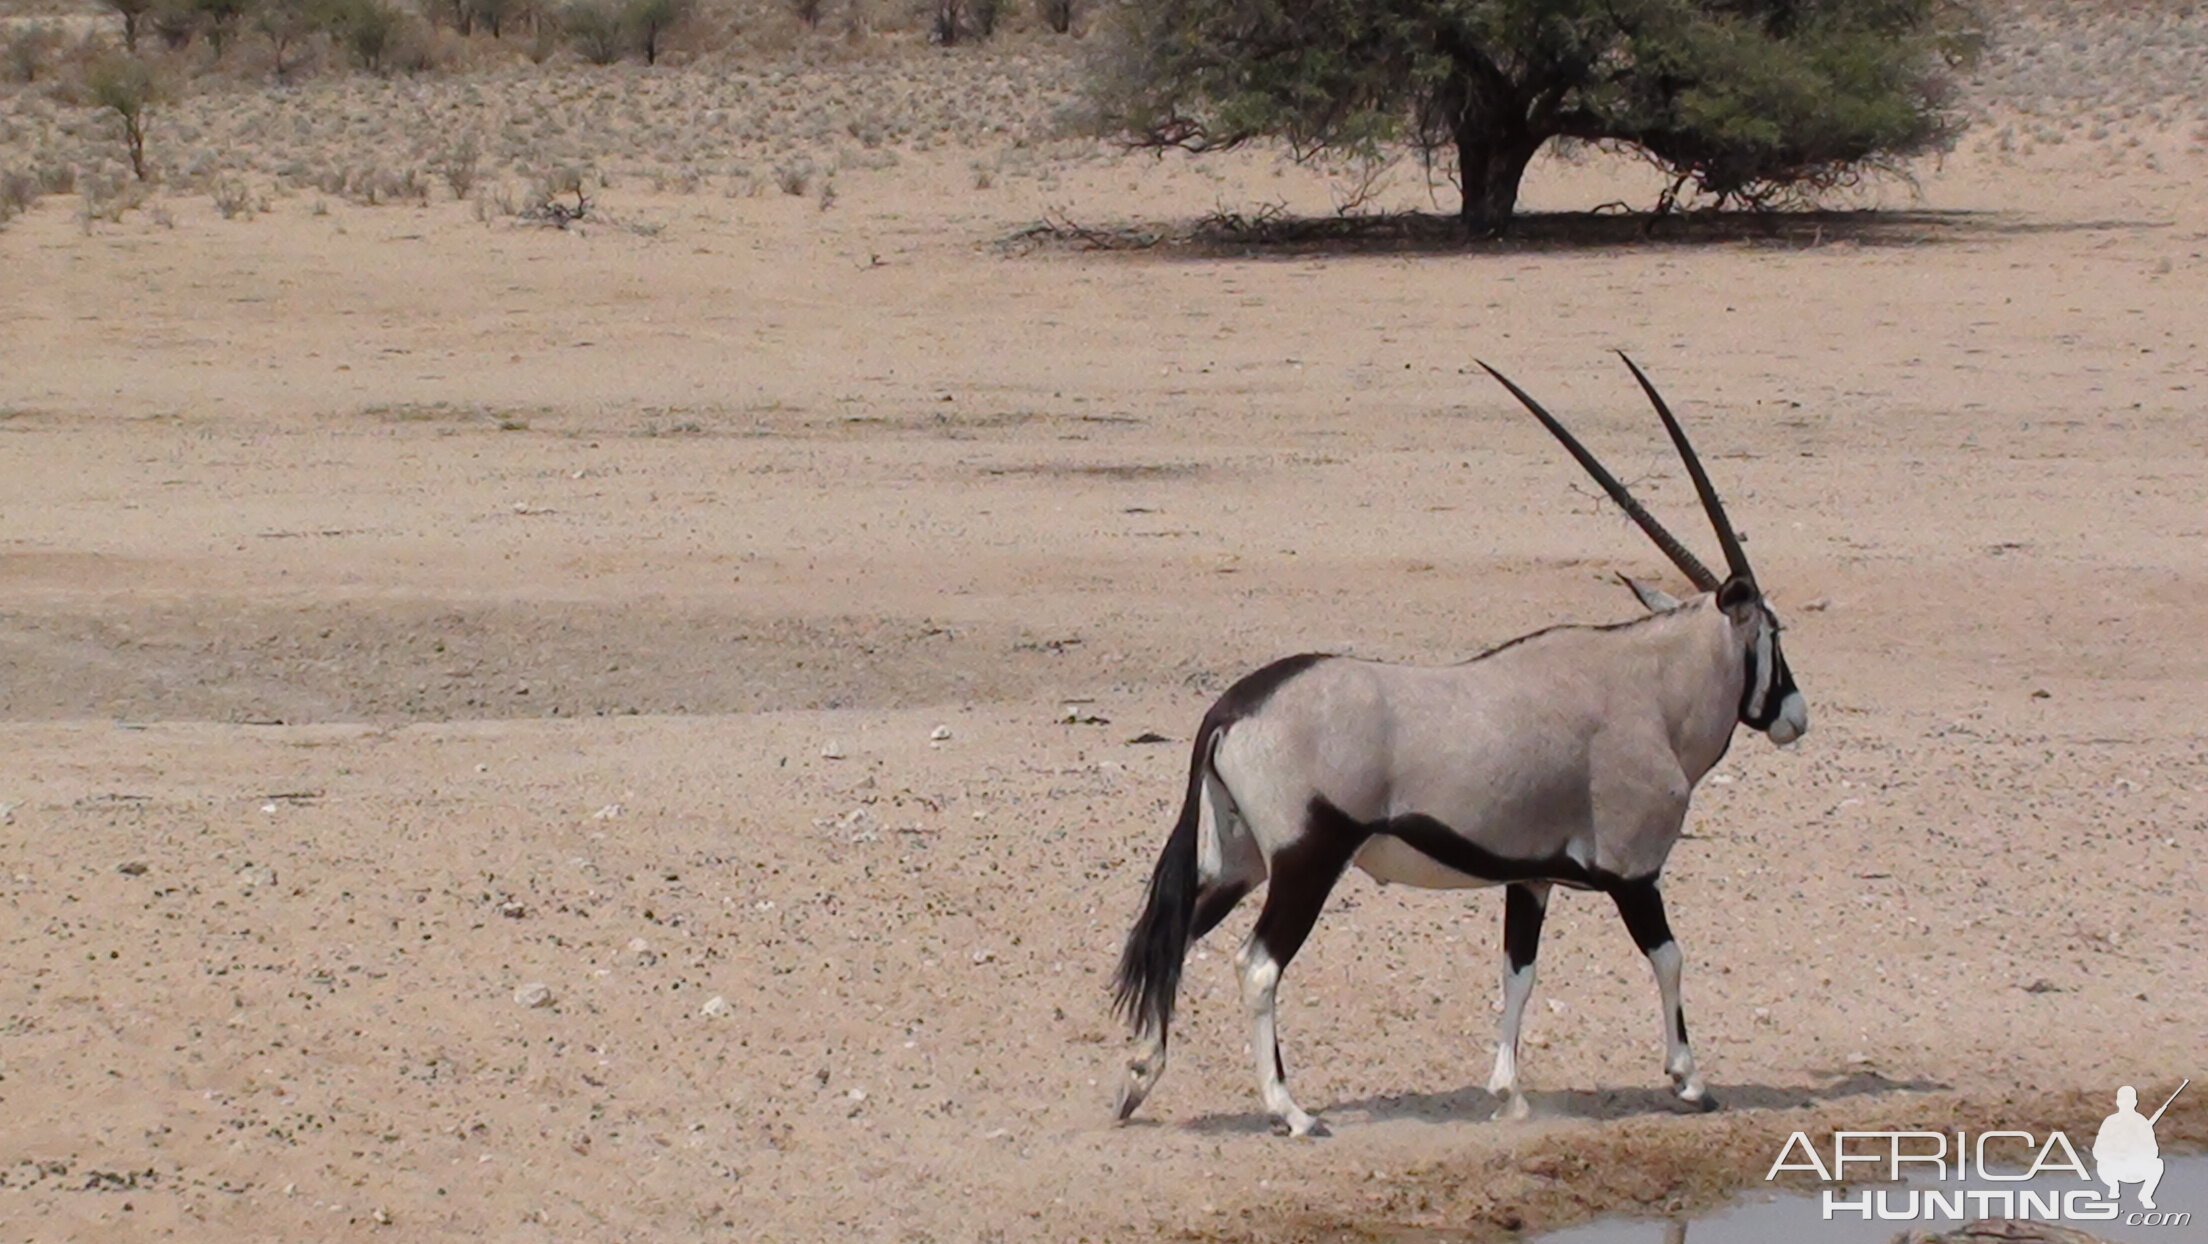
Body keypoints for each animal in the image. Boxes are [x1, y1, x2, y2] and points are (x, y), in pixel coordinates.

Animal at [1112, 353, 1801, 1140]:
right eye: (1774, 633)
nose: (1794, 714)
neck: (1648, 689)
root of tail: (1232, 708)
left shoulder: (1530, 880)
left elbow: (1518, 973)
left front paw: (1509, 1093)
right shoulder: (1634, 876)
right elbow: (1670, 959)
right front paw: (1689, 1080)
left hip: (1239, 862)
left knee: (1171, 940)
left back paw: (1138, 1079)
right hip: (1306, 863)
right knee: (1256, 966)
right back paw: (1292, 1111)